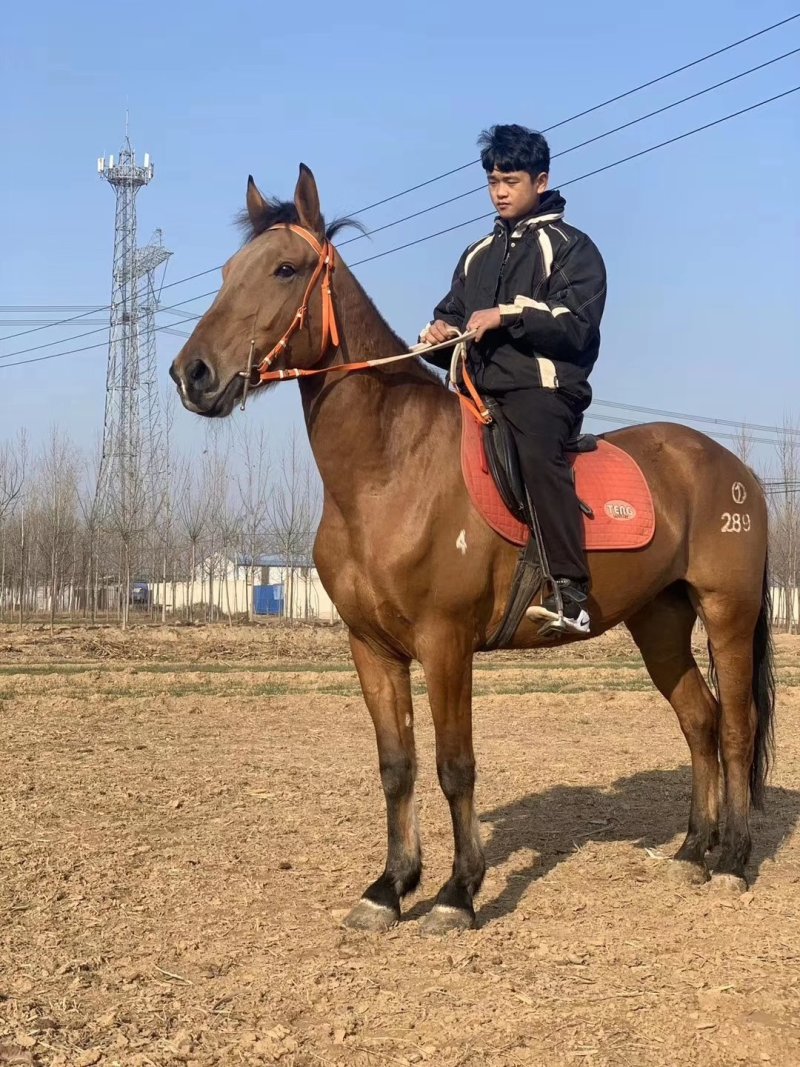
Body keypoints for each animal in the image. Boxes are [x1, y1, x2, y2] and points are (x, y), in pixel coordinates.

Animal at [170, 164, 775, 935]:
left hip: (727, 612)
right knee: (699, 719)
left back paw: (732, 861)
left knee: (736, 727)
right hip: (660, 619)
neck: (390, 468)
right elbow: (396, 765)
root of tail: (733, 468)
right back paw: (693, 853)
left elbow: (455, 766)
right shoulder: (371, 648)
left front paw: (457, 892)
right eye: (227, 271)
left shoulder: (445, 643)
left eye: (285, 268)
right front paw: (389, 887)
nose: (193, 374)